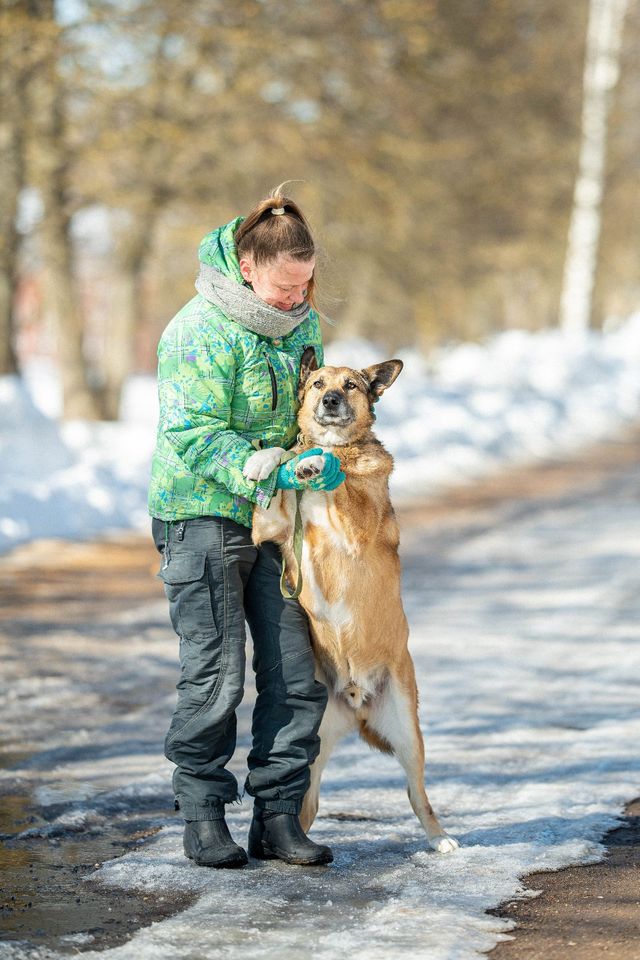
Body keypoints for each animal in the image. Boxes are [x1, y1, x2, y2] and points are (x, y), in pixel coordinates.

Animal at [242, 346, 458, 856]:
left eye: (352, 385)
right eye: (319, 383)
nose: (332, 400)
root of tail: (356, 701)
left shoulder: (357, 522)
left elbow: (338, 479)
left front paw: (318, 464)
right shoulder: (269, 530)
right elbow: (286, 458)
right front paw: (270, 460)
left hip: (408, 734)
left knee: (417, 795)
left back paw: (441, 840)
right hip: (314, 748)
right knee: (308, 803)